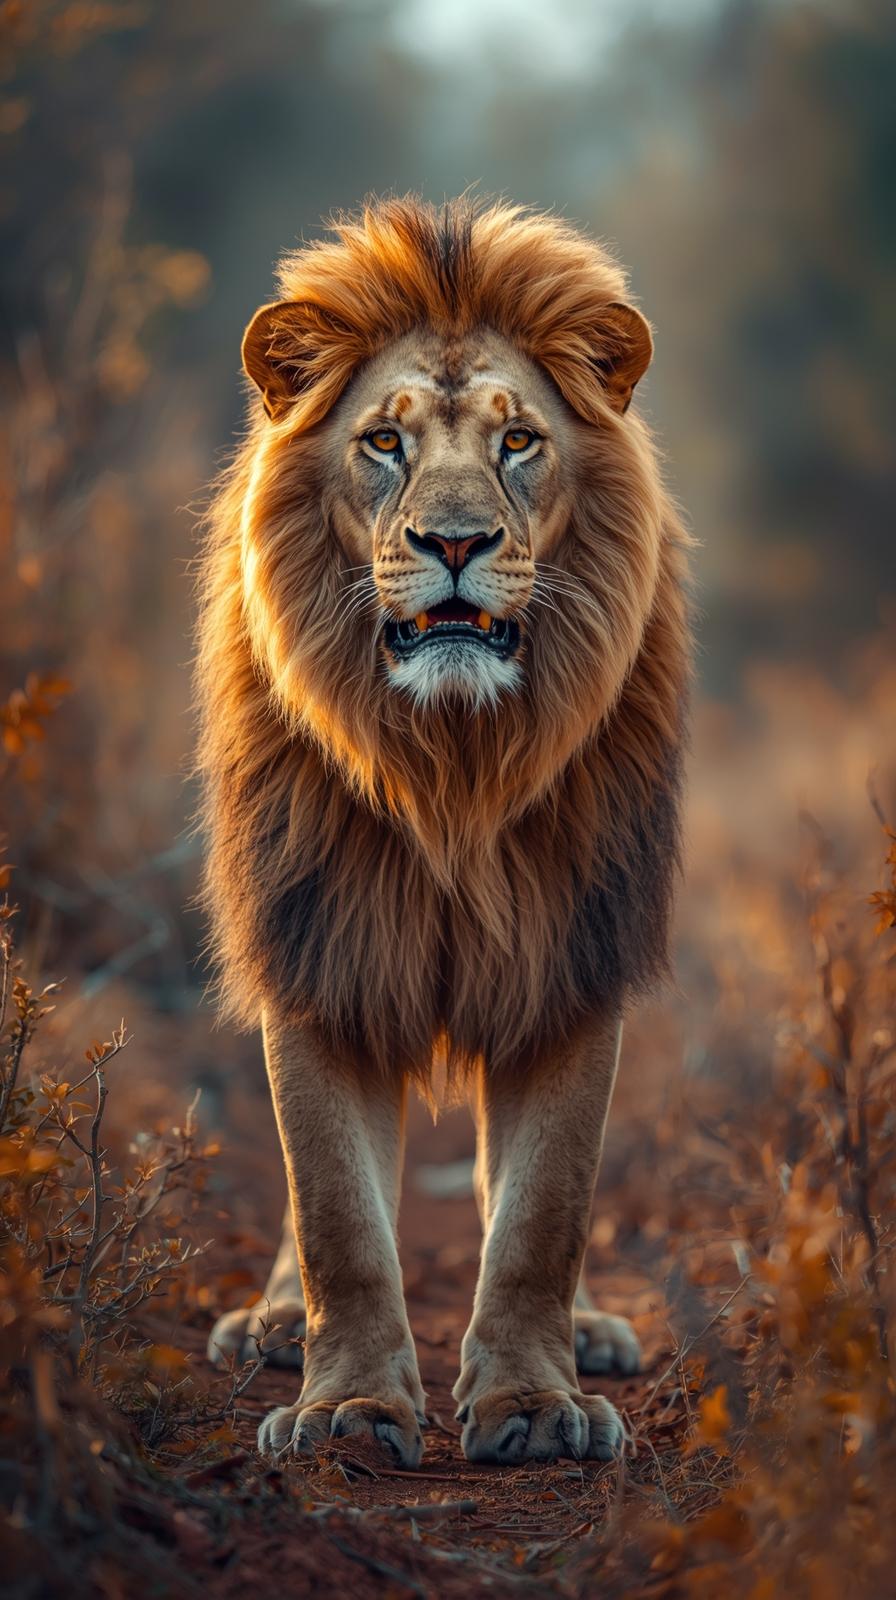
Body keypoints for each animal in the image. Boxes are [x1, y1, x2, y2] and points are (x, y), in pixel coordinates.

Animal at [197, 196, 691, 1468]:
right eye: (383, 442)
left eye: (518, 442)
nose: (456, 544)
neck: (450, 770)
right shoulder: (319, 947)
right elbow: (335, 1213)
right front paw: (347, 1408)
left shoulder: (570, 955)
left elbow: (542, 1211)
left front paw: (533, 1402)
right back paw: (272, 1324)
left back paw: (590, 1331)